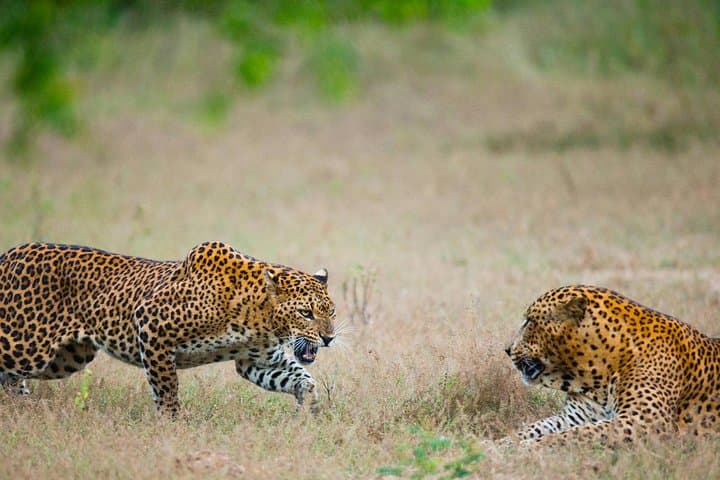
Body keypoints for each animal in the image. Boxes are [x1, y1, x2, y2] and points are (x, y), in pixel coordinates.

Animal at [0, 241, 337, 417]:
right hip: (24, 345)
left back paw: (20, 406)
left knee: (11, 380)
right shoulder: (150, 323)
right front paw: (172, 423)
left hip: (65, 358)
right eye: (306, 313)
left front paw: (311, 407)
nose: (329, 338)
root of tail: (10, 253)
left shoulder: (256, 361)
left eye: (331, 312)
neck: (260, 316)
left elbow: (299, 377)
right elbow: (165, 385)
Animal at [505, 284, 720, 446]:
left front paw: (525, 448)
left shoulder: (645, 422)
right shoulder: (574, 417)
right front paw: (503, 444)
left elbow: (575, 435)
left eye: (529, 321)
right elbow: (534, 427)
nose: (507, 349)